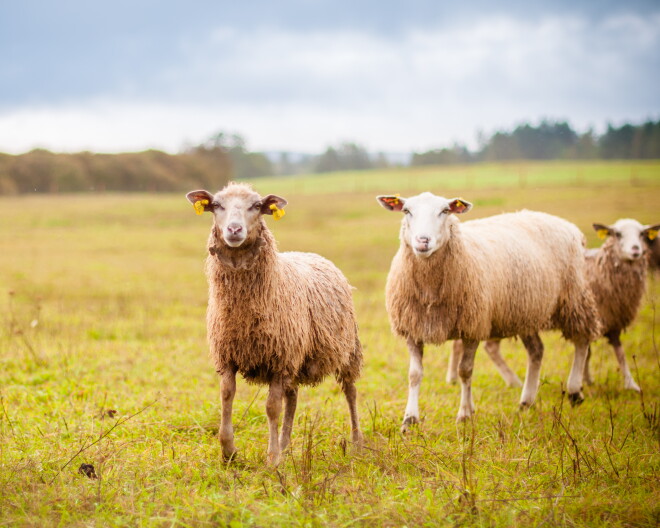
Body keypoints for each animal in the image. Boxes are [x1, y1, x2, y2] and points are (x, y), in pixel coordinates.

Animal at [187, 182, 363, 465]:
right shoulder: (228, 356)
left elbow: (271, 408)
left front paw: (271, 459)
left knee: (350, 390)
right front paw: (229, 452)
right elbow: (226, 397)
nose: (234, 230)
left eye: (256, 206)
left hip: (347, 349)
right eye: (216, 205)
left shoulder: (279, 359)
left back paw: (356, 442)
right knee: (292, 398)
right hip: (297, 357)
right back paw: (286, 445)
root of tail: (310, 254)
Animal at [377, 192, 600, 426]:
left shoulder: (473, 327)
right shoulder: (413, 328)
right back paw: (526, 401)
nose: (422, 241)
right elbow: (414, 374)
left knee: (582, 340)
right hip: (525, 312)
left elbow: (465, 371)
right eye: (406, 211)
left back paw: (575, 391)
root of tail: (568, 226)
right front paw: (409, 419)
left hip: (574, 297)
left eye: (445, 211)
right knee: (536, 351)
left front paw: (464, 414)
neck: (430, 290)